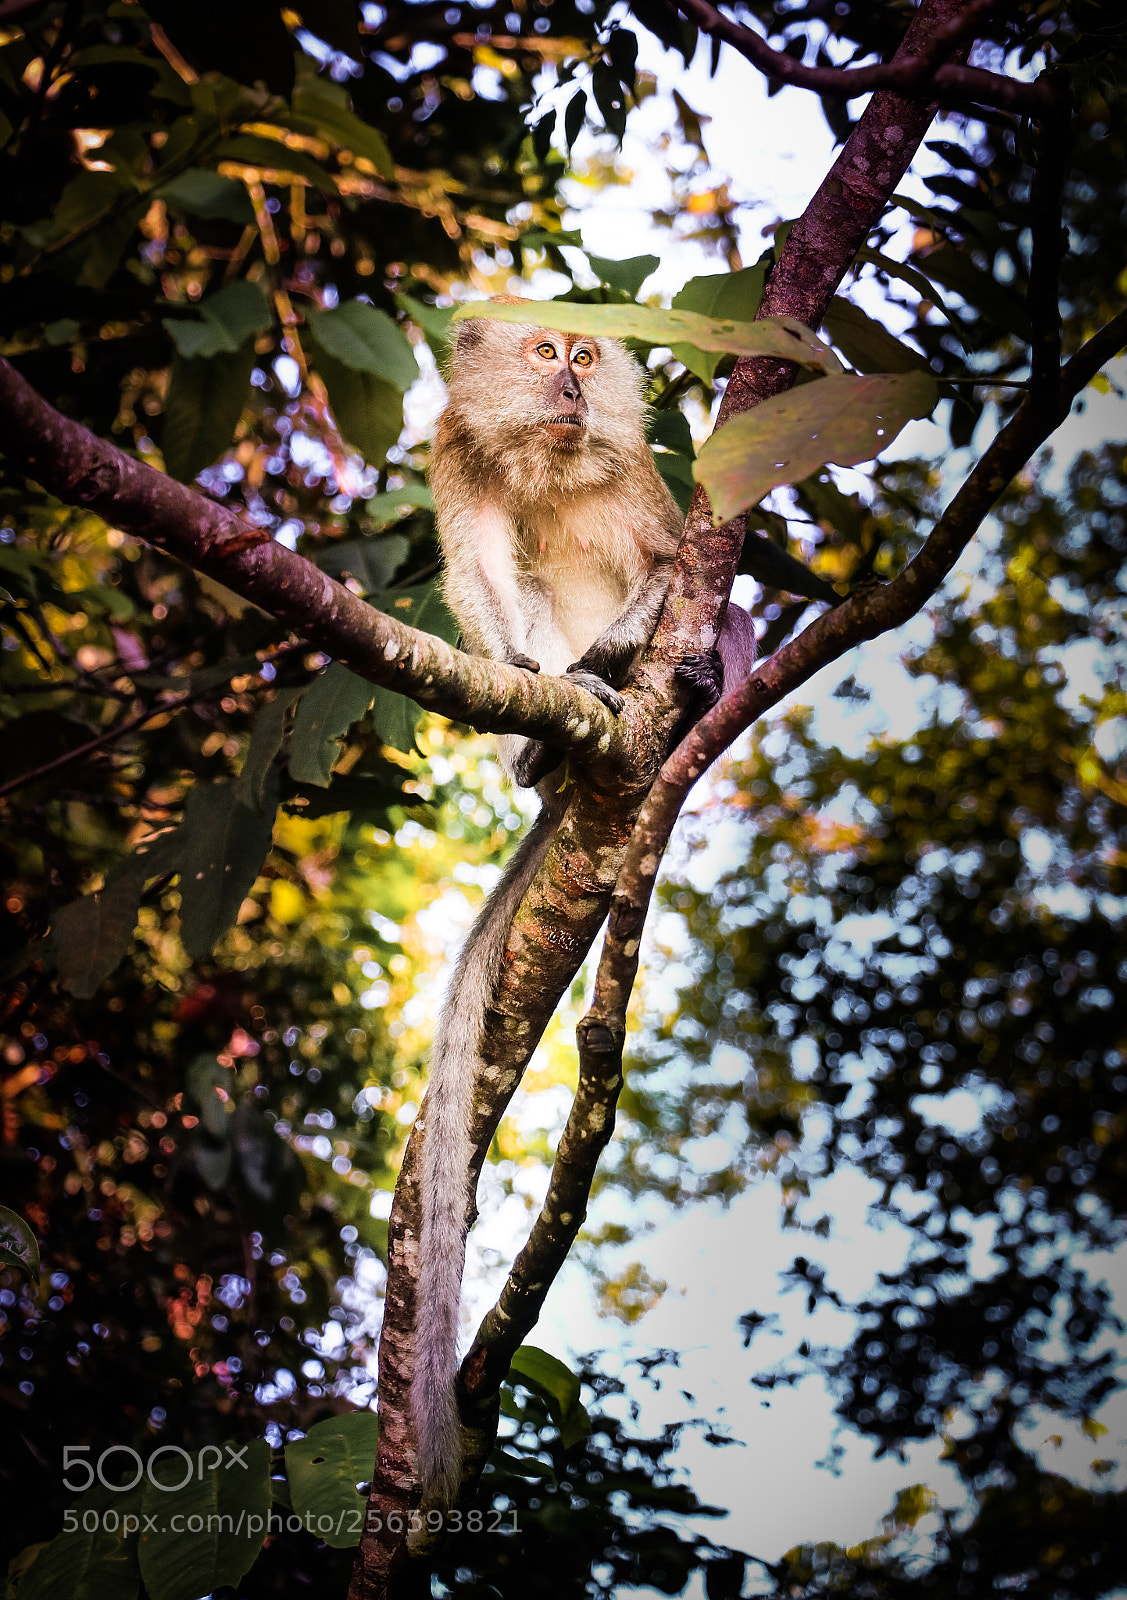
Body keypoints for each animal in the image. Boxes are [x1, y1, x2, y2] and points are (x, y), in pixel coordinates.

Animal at [411, 308, 758, 1511]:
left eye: (585, 355)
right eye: (540, 354)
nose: (569, 382)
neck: (552, 457)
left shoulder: (653, 490)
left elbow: (677, 572)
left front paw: (630, 645)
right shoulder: (459, 458)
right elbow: (479, 570)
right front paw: (549, 679)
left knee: (723, 629)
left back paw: (671, 690)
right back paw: (551, 746)